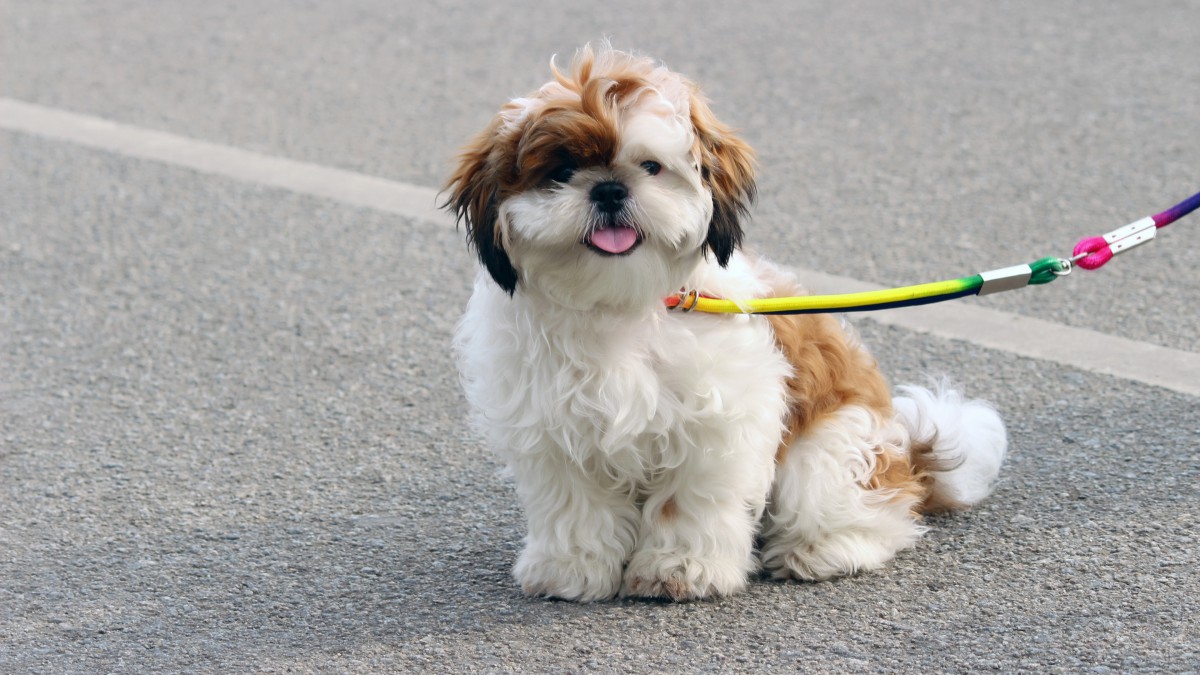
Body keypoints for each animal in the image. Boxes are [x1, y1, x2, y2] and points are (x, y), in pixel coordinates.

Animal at [441, 45, 1003, 598]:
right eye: (560, 171)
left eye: (650, 166)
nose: (608, 190)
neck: (622, 302)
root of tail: (908, 456)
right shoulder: (554, 427)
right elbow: (576, 503)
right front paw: (571, 567)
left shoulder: (716, 422)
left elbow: (688, 501)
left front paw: (680, 568)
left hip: (834, 448)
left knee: (866, 509)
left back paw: (825, 548)